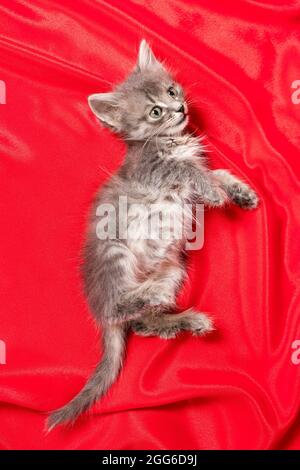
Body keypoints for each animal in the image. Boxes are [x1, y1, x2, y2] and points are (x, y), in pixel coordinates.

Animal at [47, 40, 258, 430]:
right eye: (156, 112)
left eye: (172, 92)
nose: (180, 108)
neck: (167, 141)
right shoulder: (156, 171)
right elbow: (190, 169)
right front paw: (216, 192)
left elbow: (216, 171)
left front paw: (239, 192)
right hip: (114, 253)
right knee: (121, 306)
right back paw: (147, 299)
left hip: (173, 270)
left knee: (144, 324)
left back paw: (185, 319)